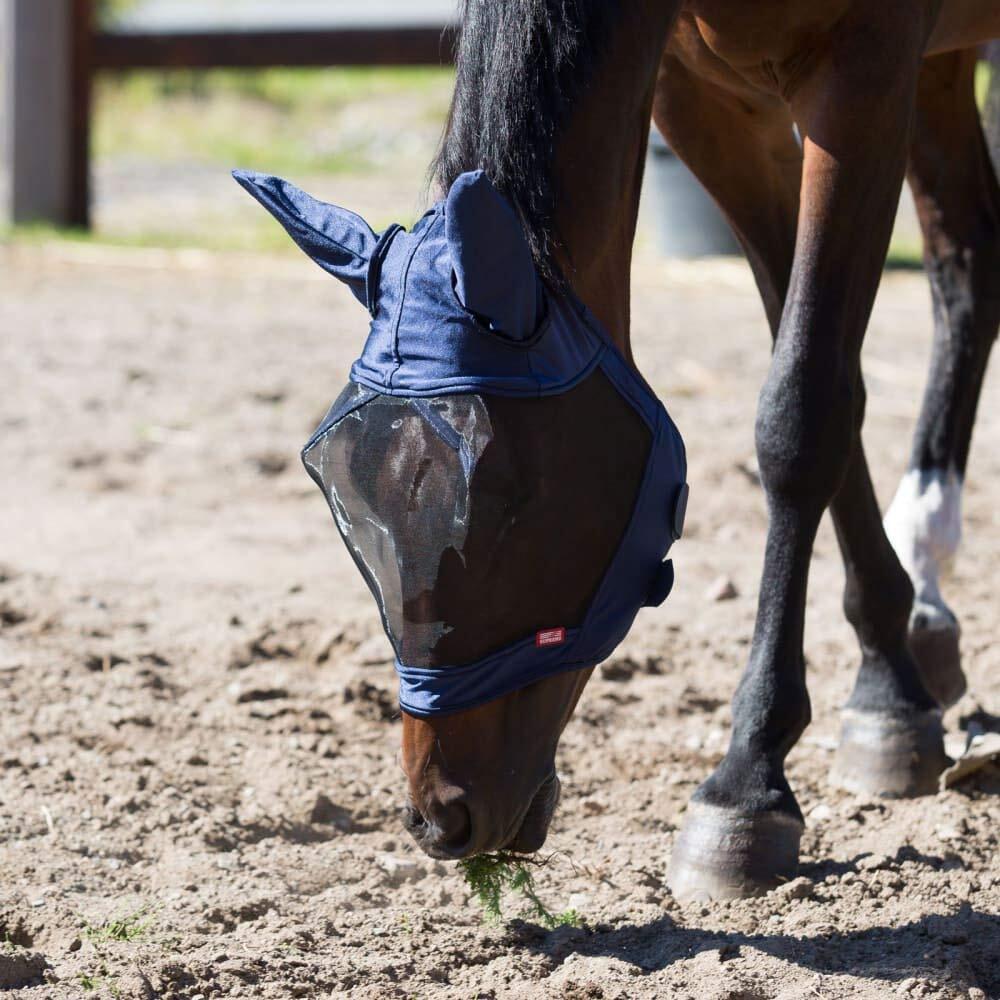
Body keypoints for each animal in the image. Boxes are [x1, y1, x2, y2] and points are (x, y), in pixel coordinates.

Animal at [280, 1, 1000, 898]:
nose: (440, 814)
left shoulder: (864, 73)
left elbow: (802, 413)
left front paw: (748, 781)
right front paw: (888, 688)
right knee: (969, 265)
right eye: (338, 490)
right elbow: (819, 369)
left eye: (507, 499)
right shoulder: (710, 103)